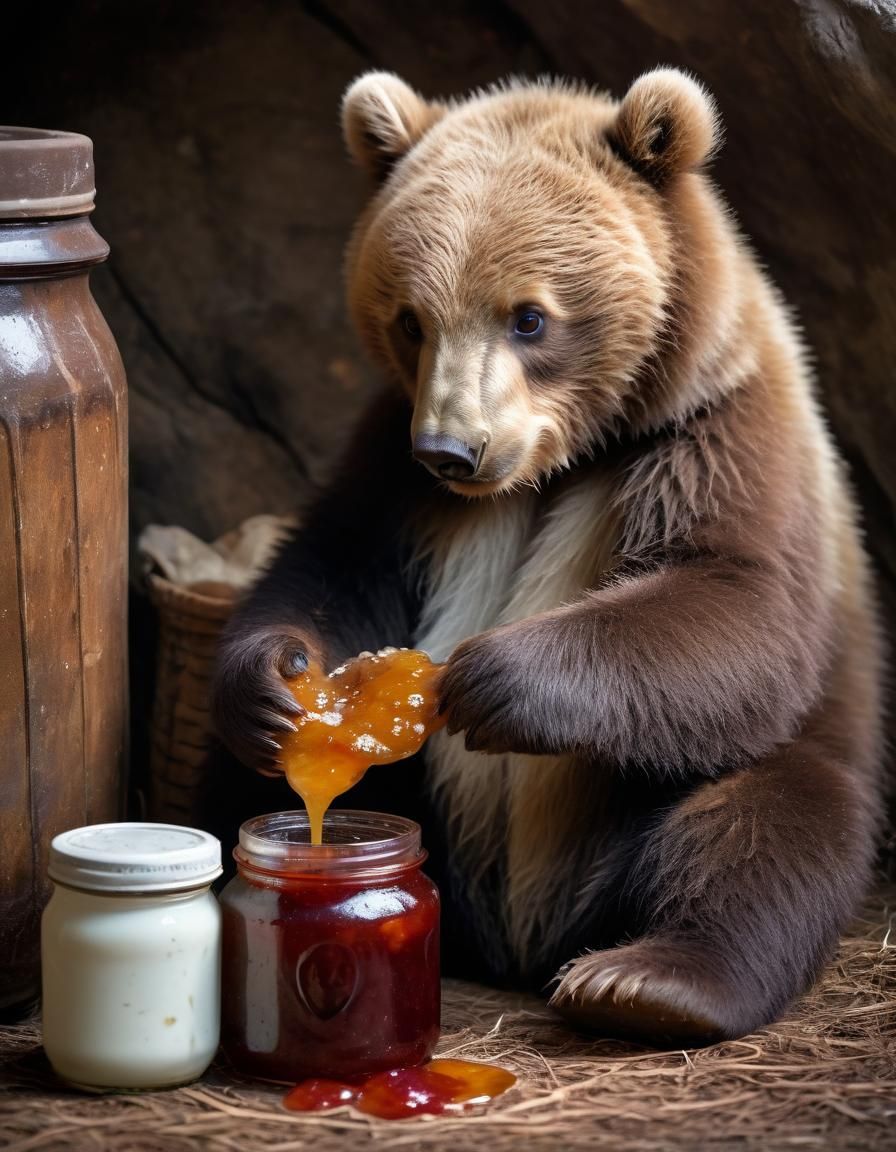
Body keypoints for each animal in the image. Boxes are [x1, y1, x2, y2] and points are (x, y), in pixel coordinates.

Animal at [213, 68, 884, 1045]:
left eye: (530, 317)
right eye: (411, 320)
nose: (454, 449)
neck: (560, 462)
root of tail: (518, 945)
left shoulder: (714, 432)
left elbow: (737, 604)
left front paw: (489, 678)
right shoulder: (394, 475)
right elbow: (333, 567)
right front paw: (272, 683)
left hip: (679, 798)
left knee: (763, 823)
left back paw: (648, 979)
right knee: (235, 789)